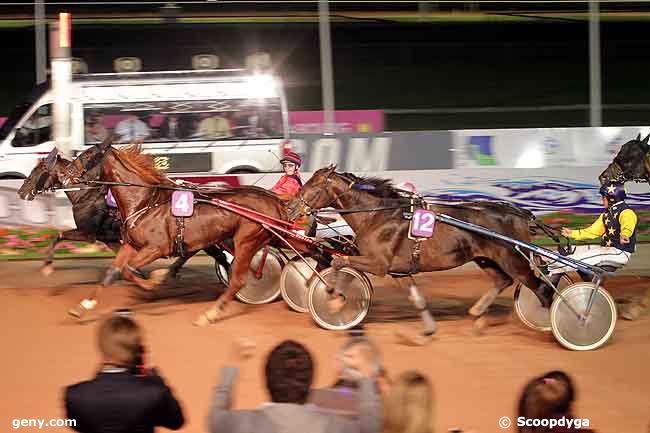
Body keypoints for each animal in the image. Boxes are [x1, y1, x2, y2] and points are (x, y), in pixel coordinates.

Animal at [58, 138, 292, 324]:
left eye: (88, 155)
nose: (65, 175)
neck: (144, 202)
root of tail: (274, 201)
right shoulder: (131, 245)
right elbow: (114, 271)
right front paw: (82, 307)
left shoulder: (155, 248)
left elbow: (128, 268)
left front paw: (155, 280)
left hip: (246, 240)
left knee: (239, 279)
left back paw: (210, 313)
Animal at [288, 166, 548, 334]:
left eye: (313, 185)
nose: (290, 206)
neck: (377, 215)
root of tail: (519, 213)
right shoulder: (399, 270)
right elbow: (418, 299)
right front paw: (428, 329)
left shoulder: (378, 263)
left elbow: (339, 263)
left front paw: (335, 300)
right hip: (487, 259)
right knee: (503, 280)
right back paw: (477, 313)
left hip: (513, 259)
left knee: (540, 288)